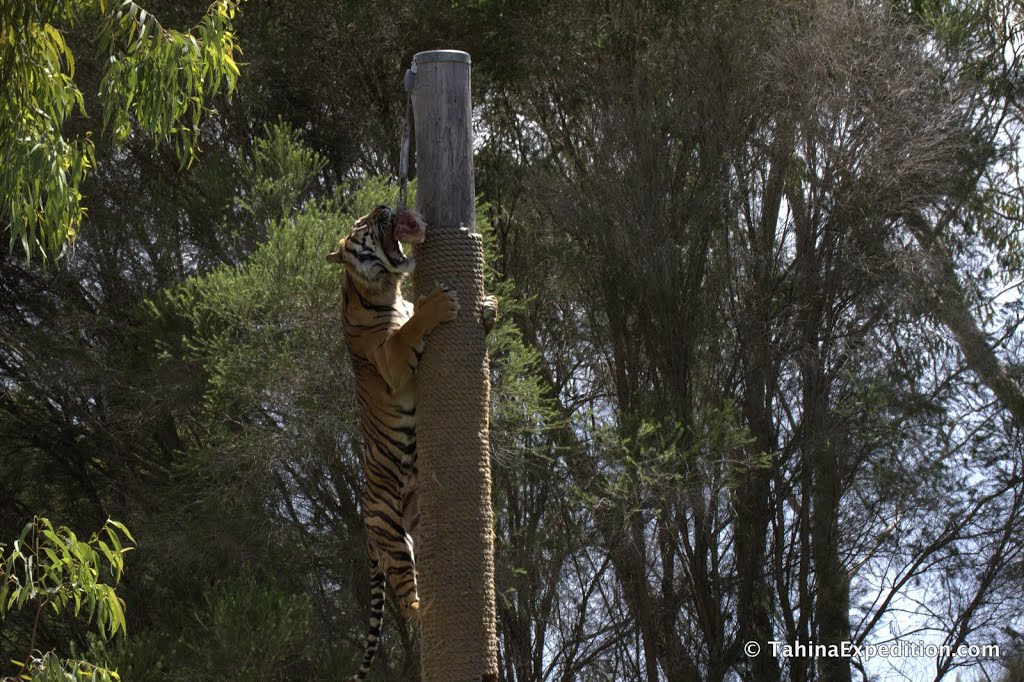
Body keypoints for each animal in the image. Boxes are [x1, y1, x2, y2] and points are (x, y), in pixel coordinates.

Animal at [323, 202, 491, 679]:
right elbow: (409, 329)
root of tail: (367, 529)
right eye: (362, 224)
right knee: (407, 600)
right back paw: (426, 613)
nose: (383, 206)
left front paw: (489, 307)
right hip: (394, 539)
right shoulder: (393, 361)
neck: (387, 290)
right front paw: (440, 304)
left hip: (414, 516)